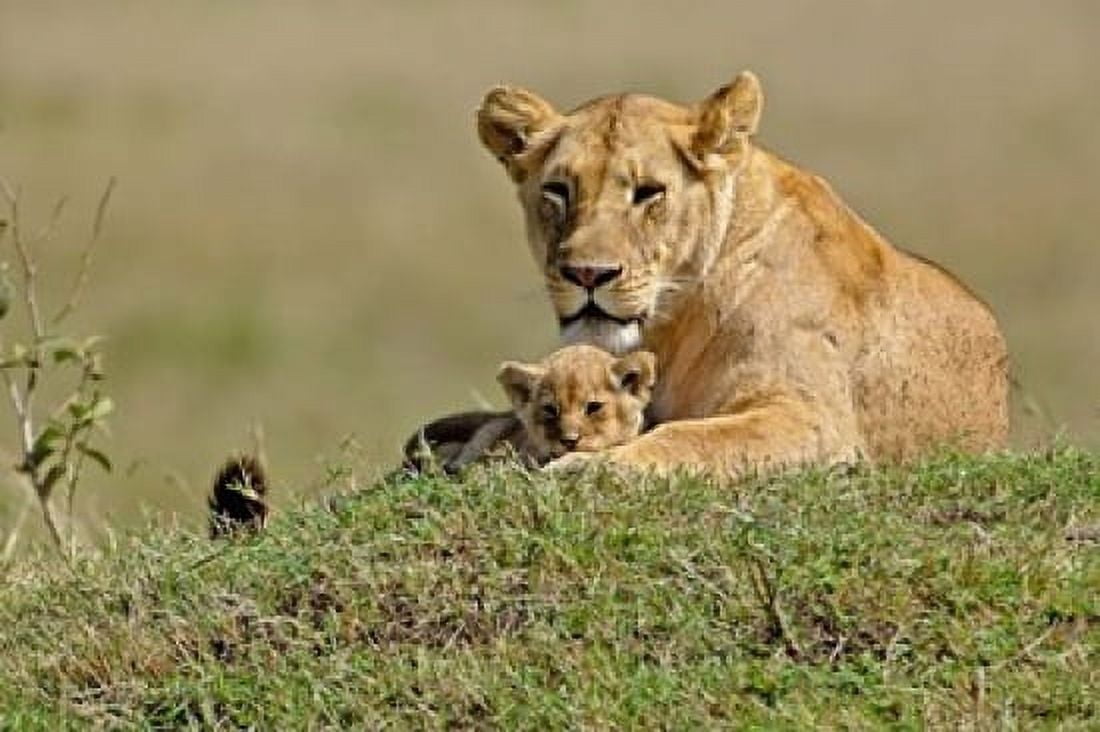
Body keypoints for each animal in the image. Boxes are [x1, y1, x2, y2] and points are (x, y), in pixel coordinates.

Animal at [411, 70, 1009, 478]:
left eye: (648, 192)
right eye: (558, 190)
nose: (588, 274)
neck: (671, 323)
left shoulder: (814, 419)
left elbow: (689, 439)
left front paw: (584, 467)